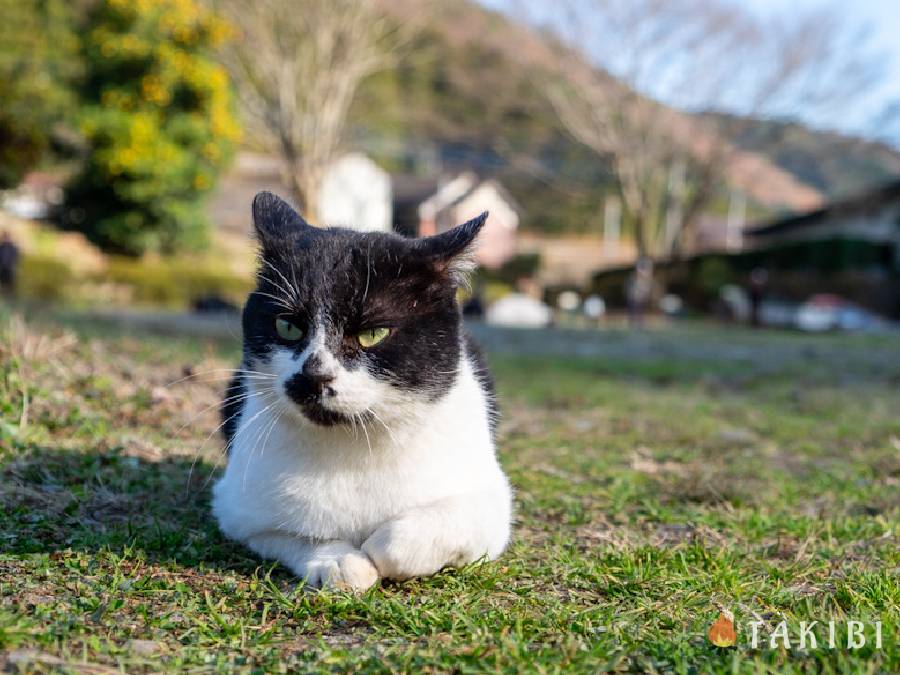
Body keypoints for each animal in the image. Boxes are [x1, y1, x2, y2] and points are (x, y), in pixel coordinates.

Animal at [207, 191, 510, 592]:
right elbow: (299, 534)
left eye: (373, 334)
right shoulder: (237, 510)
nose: (313, 376)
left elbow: (406, 538)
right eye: (287, 326)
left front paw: (379, 549)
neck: (353, 446)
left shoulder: (492, 505)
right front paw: (338, 561)